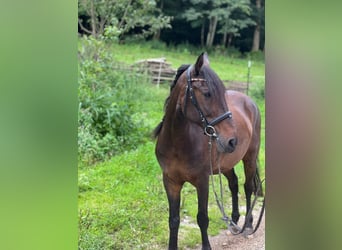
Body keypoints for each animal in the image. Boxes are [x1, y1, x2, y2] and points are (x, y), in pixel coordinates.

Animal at [154, 52, 264, 250]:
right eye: (207, 94)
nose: (232, 140)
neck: (177, 143)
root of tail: (249, 101)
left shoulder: (202, 181)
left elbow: (202, 218)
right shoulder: (170, 181)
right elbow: (173, 220)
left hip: (249, 158)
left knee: (248, 187)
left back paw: (248, 225)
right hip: (226, 163)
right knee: (234, 184)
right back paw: (233, 221)